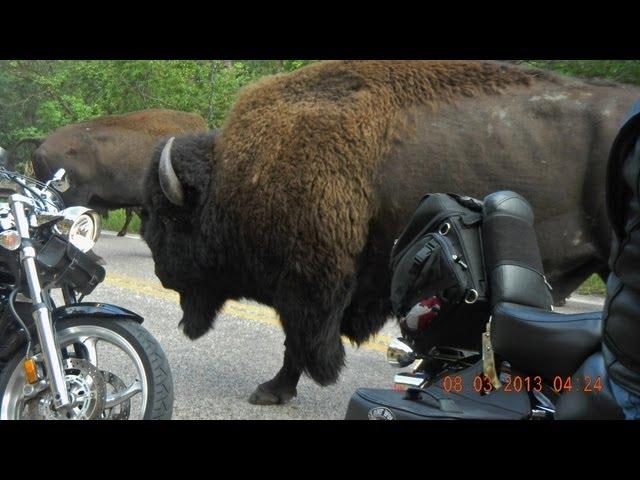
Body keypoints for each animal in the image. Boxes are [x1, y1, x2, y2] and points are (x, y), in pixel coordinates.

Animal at [140, 60, 640, 404]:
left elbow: (298, 341)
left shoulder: (310, 283)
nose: (161, 274)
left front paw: (271, 390)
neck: (238, 174)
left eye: (166, 219)